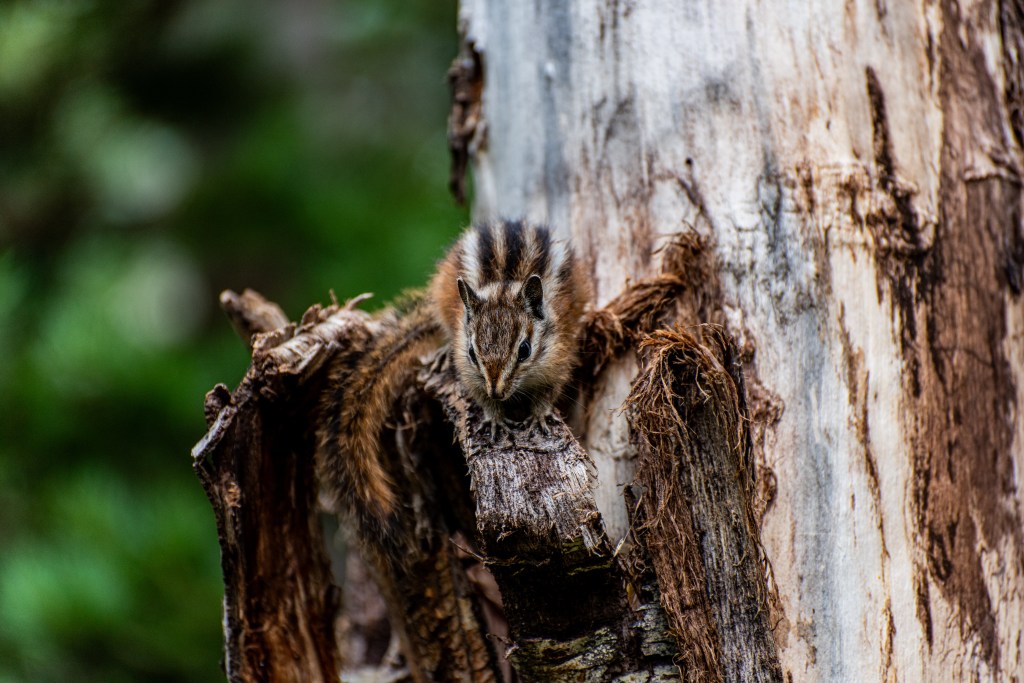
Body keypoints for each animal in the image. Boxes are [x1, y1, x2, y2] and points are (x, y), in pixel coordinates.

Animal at [317, 219, 588, 519]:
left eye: (525, 350)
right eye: (471, 353)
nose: (497, 392)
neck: (504, 285)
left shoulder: (559, 359)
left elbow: (550, 391)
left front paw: (539, 415)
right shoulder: (470, 372)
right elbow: (477, 392)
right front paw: (494, 417)